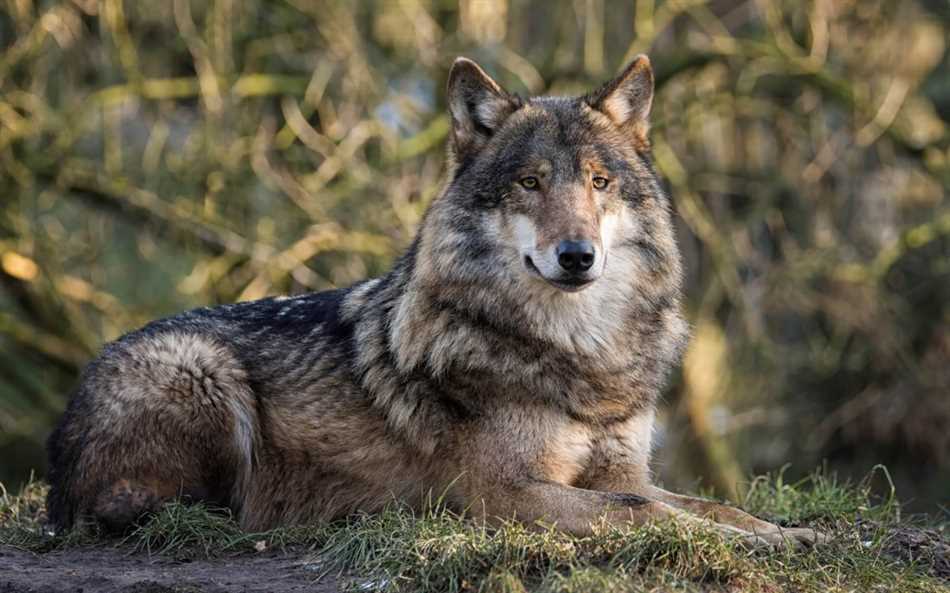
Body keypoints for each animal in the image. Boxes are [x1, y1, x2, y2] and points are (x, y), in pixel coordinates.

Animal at [44, 55, 820, 544]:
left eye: (599, 182)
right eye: (531, 183)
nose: (577, 256)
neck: (577, 353)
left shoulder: (625, 468)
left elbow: (705, 502)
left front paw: (791, 533)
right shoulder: (502, 493)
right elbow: (641, 511)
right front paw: (753, 545)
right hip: (202, 369)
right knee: (147, 509)